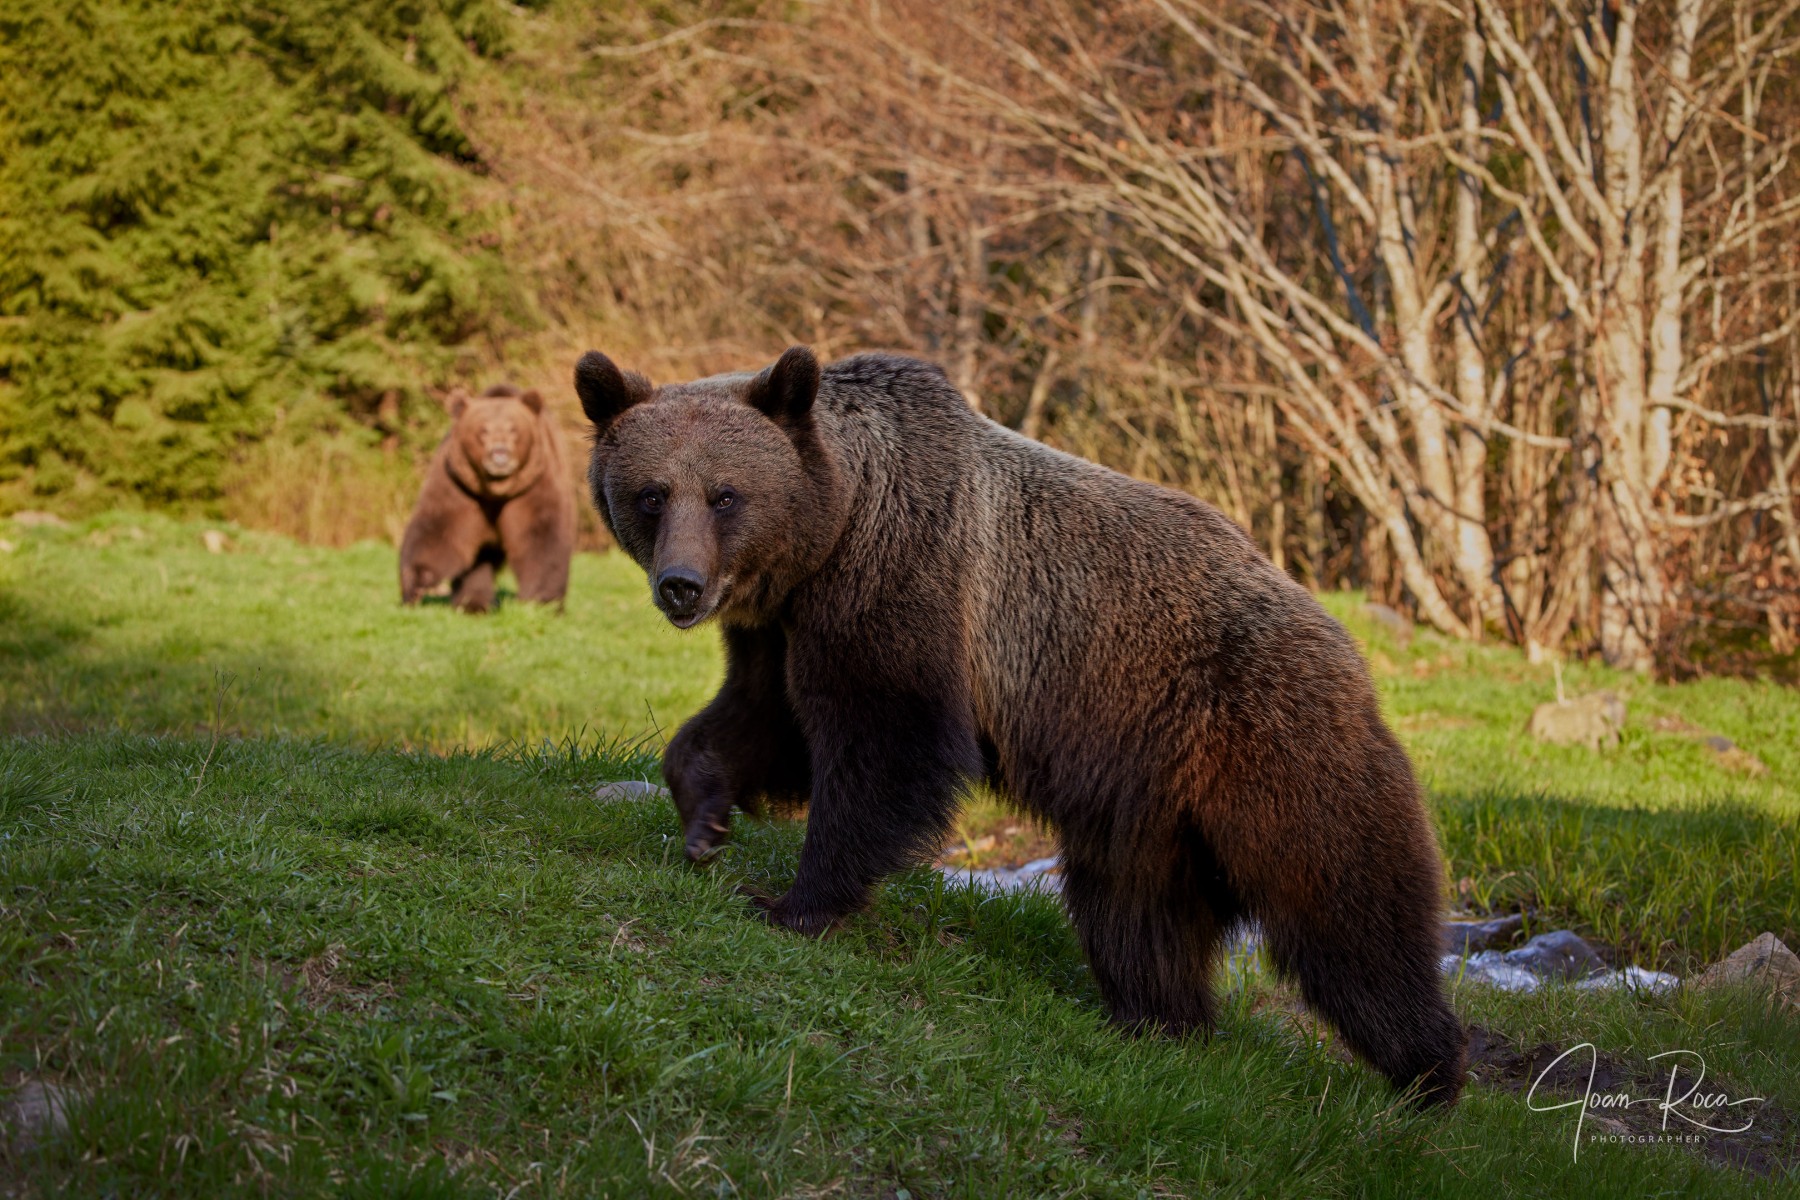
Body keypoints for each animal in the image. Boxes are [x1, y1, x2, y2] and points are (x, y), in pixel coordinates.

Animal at [399, 384, 575, 613]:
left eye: (513, 429)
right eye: (483, 430)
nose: (500, 454)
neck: (496, 489)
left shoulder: (534, 486)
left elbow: (540, 536)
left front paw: (542, 601)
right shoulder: (460, 486)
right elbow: (439, 529)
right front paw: (416, 583)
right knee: (478, 560)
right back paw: (473, 604)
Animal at [573, 346, 1467, 1105]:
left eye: (726, 494)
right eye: (652, 494)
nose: (682, 586)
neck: (834, 529)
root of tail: (1350, 652)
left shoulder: (904, 585)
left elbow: (886, 748)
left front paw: (795, 901)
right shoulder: (782, 627)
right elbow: (760, 723)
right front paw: (704, 819)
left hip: (1268, 734)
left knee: (1347, 903)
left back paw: (1428, 1069)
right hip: (1147, 791)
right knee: (1137, 909)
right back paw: (1157, 1020)